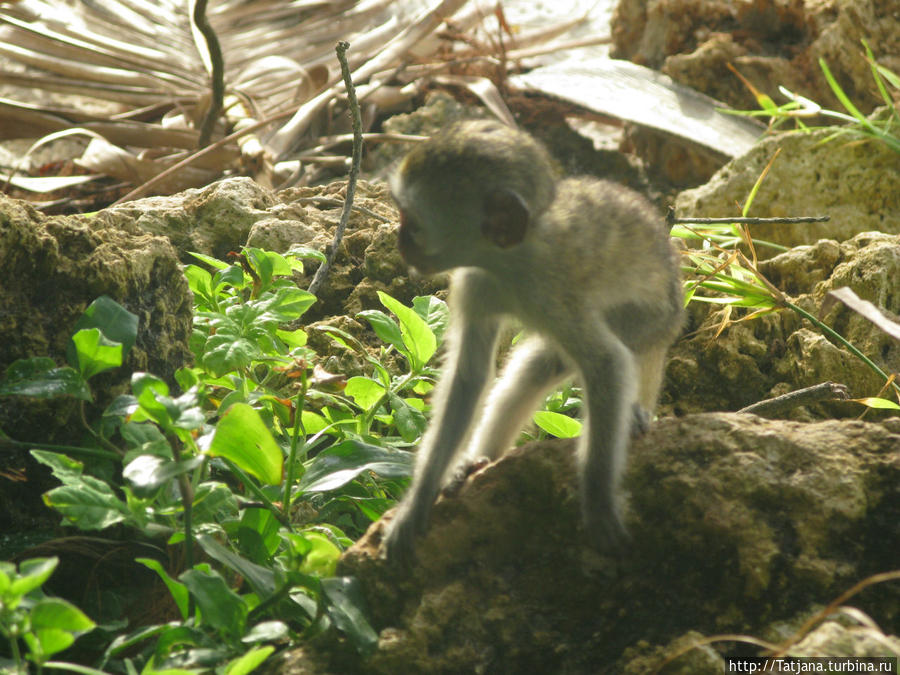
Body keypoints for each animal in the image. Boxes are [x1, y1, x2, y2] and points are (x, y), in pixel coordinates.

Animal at [380, 119, 684, 564]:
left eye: (412, 220)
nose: (400, 242)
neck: (509, 260)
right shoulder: (473, 282)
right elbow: (469, 379)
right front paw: (419, 499)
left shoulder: (550, 290)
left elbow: (606, 362)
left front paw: (598, 499)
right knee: (531, 372)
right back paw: (478, 461)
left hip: (651, 322)